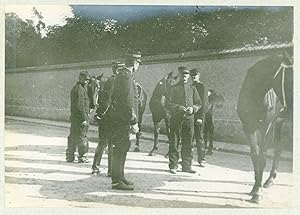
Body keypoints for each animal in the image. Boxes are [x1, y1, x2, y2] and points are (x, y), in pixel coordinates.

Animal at [237, 50, 292, 203]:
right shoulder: (248, 127)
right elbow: (254, 155)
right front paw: (256, 186)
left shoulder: (266, 128)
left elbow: (262, 157)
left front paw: (257, 193)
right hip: (279, 122)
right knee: (278, 148)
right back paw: (270, 180)